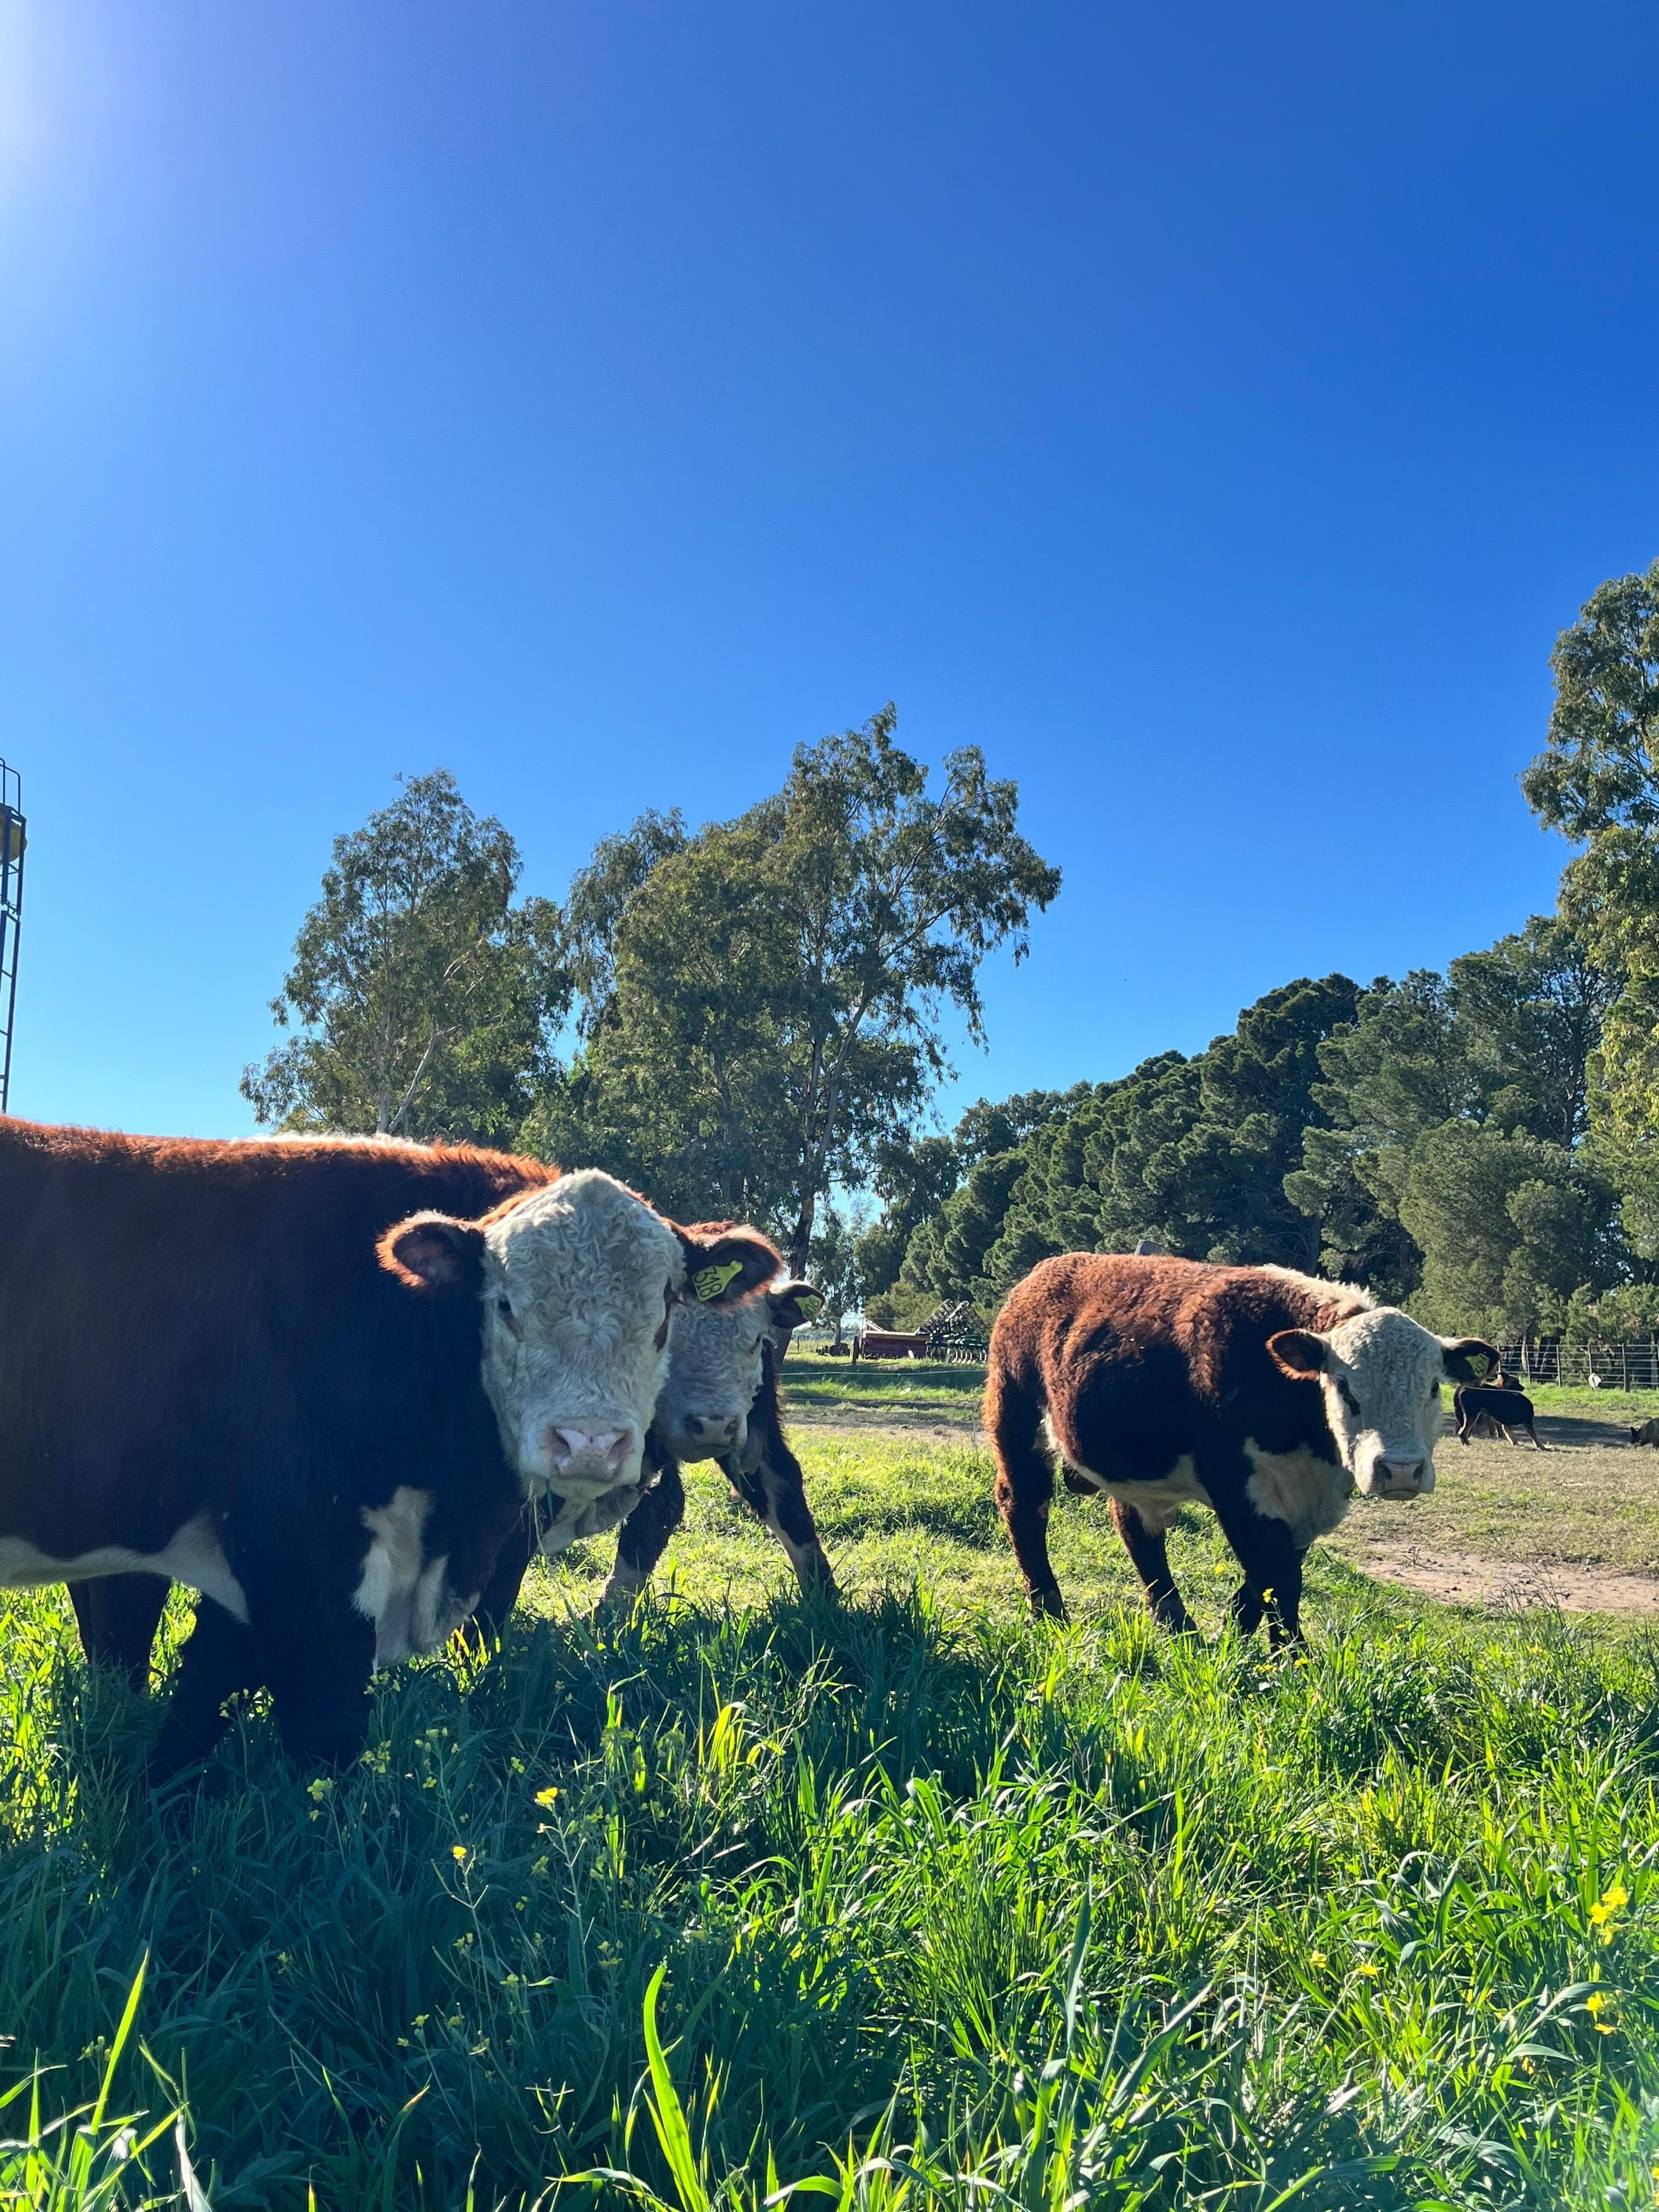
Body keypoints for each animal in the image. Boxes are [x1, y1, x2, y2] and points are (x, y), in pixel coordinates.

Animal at [3, 1119, 778, 1776]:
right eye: (503, 1304)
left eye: (668, 1305)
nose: (589, 1442)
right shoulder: (300, 1558)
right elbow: (323, 1739)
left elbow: (196, 1702)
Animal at [985, 1254, 1498, 1646]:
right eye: (1345, 1388)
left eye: (1432, 1387)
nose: (1401, 1470)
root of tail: (1047, 1271)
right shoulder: (1236, 1486)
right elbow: (1278, 1576)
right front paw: (1292, 1659)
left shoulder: (1307, 1504)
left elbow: (1270, 1575)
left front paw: (1233, 1631)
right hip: (1016, 1419)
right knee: (1025, 1507)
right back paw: (1050, 1612)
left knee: (1135, 1527)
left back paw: (1179, 1627)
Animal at [1454, 1382, 1546, 1449]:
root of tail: (1464, 1388)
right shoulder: (1527, 1423)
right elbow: (1535, 1437)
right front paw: (1542, 1447)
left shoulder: (1506, 1425)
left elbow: (1512, 1437)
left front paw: (1516, 1445)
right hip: (1472, 1417)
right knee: (1463, 1433)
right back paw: (1468, 1444)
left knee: (1461, 1432)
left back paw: (1465, 1444)